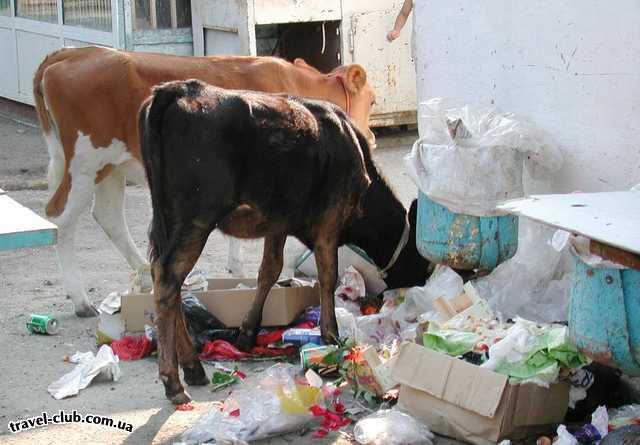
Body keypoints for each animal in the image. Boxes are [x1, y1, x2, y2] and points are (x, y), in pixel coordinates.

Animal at [32, 46, 378, 316]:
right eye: (373, 100)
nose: (372, 136)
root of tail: (72, 53)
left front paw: (237, 269)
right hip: (86, 163)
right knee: (61, 218)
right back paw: (81, 300)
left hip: (110, 167)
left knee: (107, 215)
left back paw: (144, 274)